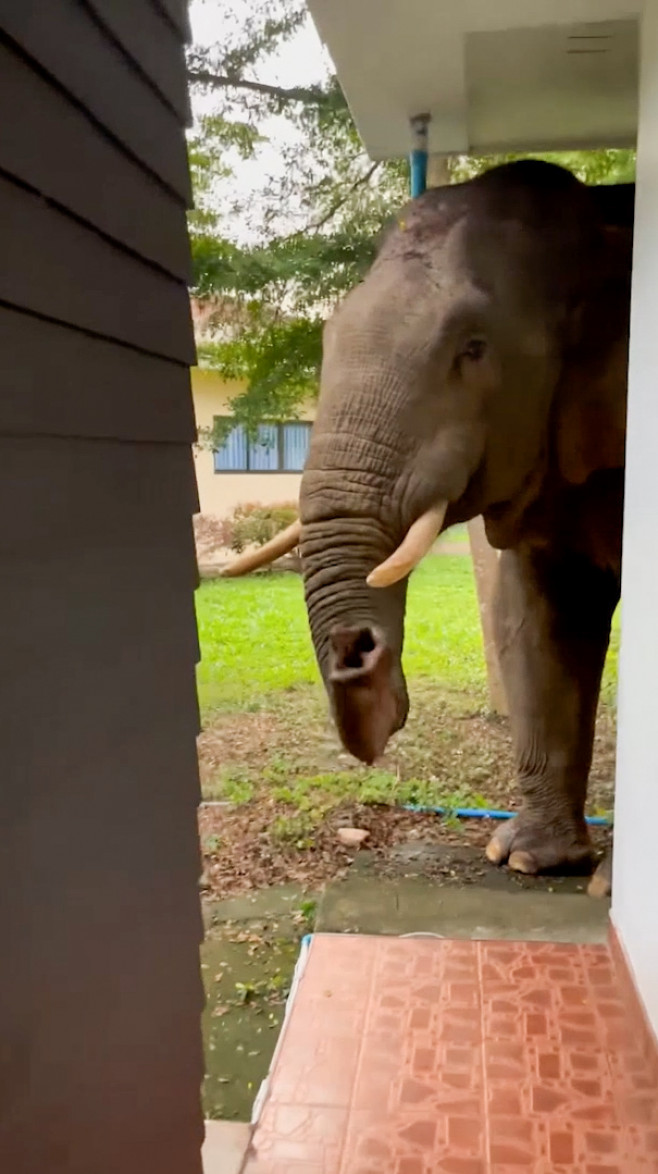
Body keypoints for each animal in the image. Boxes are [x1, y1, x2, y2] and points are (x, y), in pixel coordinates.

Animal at [224, 160, 634, 896]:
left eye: (473, 348)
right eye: (326, 339)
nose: (359, 652)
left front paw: (609, 889)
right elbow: (532, 618)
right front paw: (524, 859)